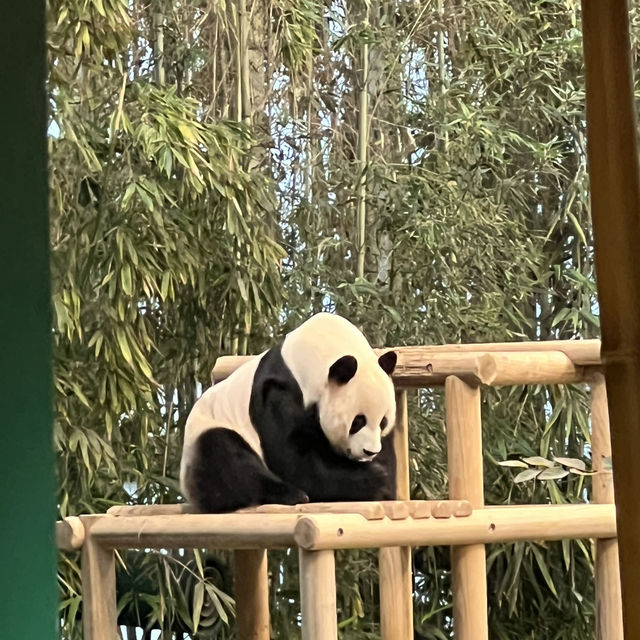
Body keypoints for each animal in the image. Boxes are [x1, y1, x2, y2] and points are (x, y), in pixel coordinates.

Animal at [180, 312, 398, 512]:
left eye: (383, 422)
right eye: (357, 422)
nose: (370, 452)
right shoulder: (278, 394)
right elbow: (296, 459)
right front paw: (375, 478)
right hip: (209, 431)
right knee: (224, 454)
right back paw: (289, 494)